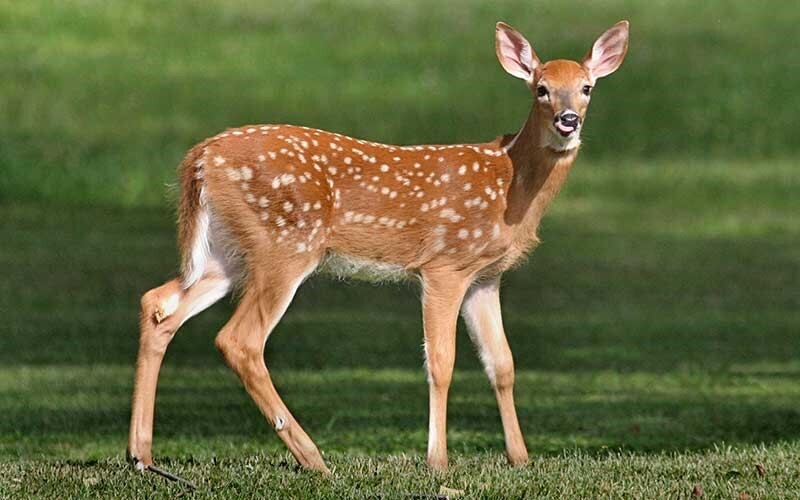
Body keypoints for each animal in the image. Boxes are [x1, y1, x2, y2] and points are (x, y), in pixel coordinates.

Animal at [128, 21, 628, 478]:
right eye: (541, 89)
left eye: (586, 88)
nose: (568, 120)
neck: (510, 183)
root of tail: (199, 159)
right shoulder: (445, 264)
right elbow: (441, 361)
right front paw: (438, 463)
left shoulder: (485, 275)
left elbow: (501, 362)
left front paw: (520, 459)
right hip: (286, 244)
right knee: (239, 339)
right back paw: (314, 458)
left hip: (227, 252)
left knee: (159, 304)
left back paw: (141, 455)